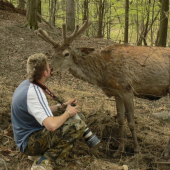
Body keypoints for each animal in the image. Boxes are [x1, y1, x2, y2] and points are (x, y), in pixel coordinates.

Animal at [35, 20, 170, 158]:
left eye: (66, 54)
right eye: (53, 54)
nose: (51, 69)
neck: (103, 73)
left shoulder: (127, 88)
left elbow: (131, 122)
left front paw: (136, 151)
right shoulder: (117, 92)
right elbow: (120, 120)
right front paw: (119, 151)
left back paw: (165, 153)